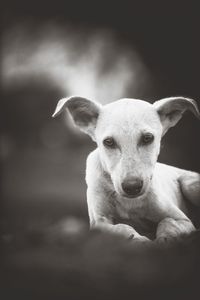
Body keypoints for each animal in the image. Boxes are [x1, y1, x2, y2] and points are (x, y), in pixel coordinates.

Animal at [52, 96, 200, 241]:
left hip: (190, 185)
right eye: (108, 142)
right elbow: (121, 227)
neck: (130, 203)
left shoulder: (183, 219)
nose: (132, 187)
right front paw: (137, 239)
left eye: (147, 138)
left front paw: (166, 237)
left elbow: (168, 221)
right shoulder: (99, 222)